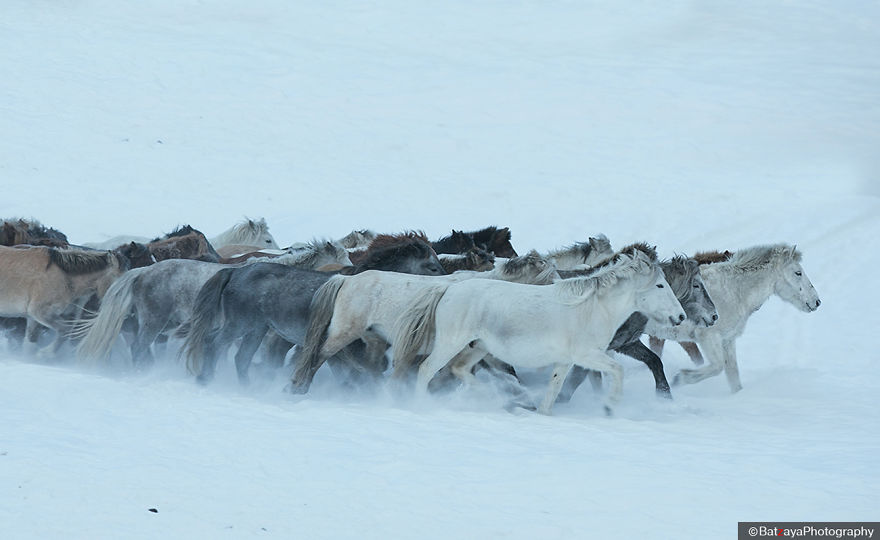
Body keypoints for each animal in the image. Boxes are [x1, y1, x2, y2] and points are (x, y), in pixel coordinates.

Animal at [181, 232, 447, 385]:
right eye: (432, 267)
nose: (449, 282)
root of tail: (235, 272)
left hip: (255, 330)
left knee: (241, 358)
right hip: (239, 325)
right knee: (214, 343)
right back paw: (206, 379)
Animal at [289, 250, 561, 394]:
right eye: (549, 277)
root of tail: (345, 280)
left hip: (374, 340)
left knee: (370, 366)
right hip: (344, 332)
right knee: (319, 355)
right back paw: (297, 387)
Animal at [391, 249, 686, 414]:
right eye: (660, 285)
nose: (681, 316)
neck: (594, 308)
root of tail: (448, 289)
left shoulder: (566, 361)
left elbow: (554, 391)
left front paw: (542, 412)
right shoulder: (586, 355)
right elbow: (618, 370)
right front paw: (610, 405)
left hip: (479, 347)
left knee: (459, 369)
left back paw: (496, 396)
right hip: (451, 342)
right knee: (427, 370)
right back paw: (422, 405)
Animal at [556, 245, 717, 401]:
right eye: (696, 285)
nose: (714, 316)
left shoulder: (627, 343)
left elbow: (655, 361)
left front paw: (664, 395)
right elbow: (578, 378)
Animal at [649, 244, 820, 392]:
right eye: (798, 273)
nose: (817, 301)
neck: (733, 291)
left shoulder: (727, 341)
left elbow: (733, 377)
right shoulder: (708, 336)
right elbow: (717, 367)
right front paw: (680, 378)